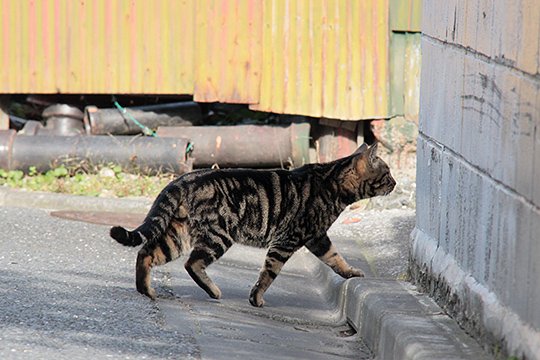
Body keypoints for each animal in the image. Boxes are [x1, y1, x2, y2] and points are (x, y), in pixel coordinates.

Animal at [110, 143, 396, 306]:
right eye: (388, 173)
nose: (395, 183)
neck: (332, 184)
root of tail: (183, 178)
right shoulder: (291, 239)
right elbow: (269, 273)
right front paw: (256, 299)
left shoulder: (317, 237)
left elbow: (336, 258)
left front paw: (350, 273)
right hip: (218, 236)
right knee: (192, 263)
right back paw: (213, 291)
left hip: (179, 235)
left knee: (146, 253)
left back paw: (146, 291)